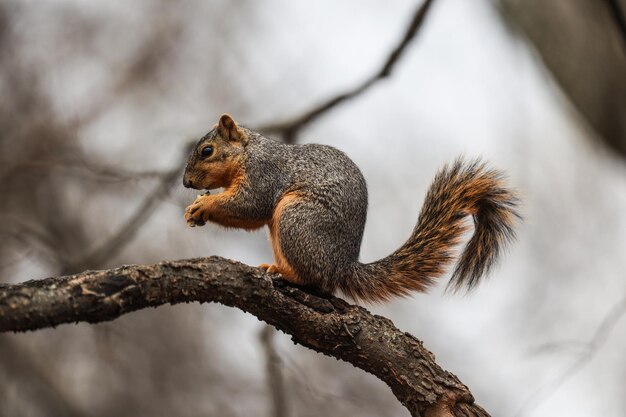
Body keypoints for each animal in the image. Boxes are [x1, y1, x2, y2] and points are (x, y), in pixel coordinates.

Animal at [183, 114, 520, 302]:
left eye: (207, 151)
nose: (186, 182)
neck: (248, 153)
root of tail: (342, 266)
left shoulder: (264, 175)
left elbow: (251, 205)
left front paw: (204, 205)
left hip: (297, 218)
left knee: (317, 281)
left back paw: (287, 274)